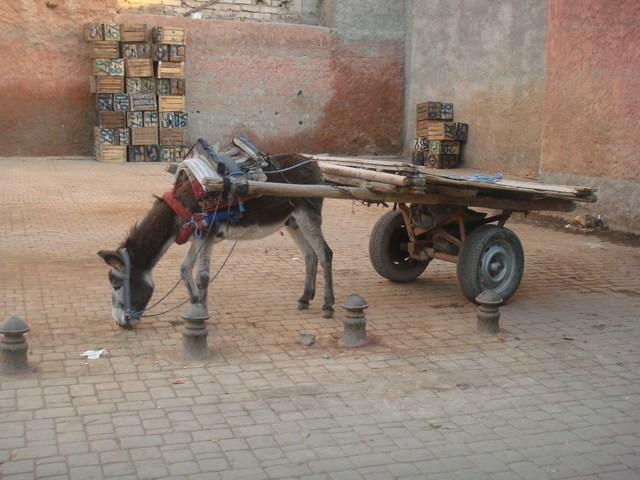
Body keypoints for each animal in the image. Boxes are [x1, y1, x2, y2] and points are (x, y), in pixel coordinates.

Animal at [97, 152, 334, 328]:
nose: (120, 322)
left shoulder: (207, 235)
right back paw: (305, 298)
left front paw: (203, 312)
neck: (183, 204)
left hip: (307, 216)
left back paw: (328, 305)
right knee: (310, 255)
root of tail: (313, 162)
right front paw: (195, 304)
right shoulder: (196, 236)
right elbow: (185, 269)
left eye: (116, 284)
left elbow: (202, 276)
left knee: (325, 254)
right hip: (292, 222)